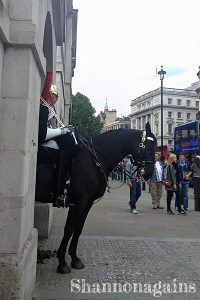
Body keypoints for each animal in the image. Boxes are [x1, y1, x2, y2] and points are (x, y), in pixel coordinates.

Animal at [47, 122, 155, 274]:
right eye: (149, 146)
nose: (150, 173)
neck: (94, 159)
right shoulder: (79, 201)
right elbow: (69, 228)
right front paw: (62, 262)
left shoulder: (87, 202)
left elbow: (78, 228)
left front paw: (75, 258)